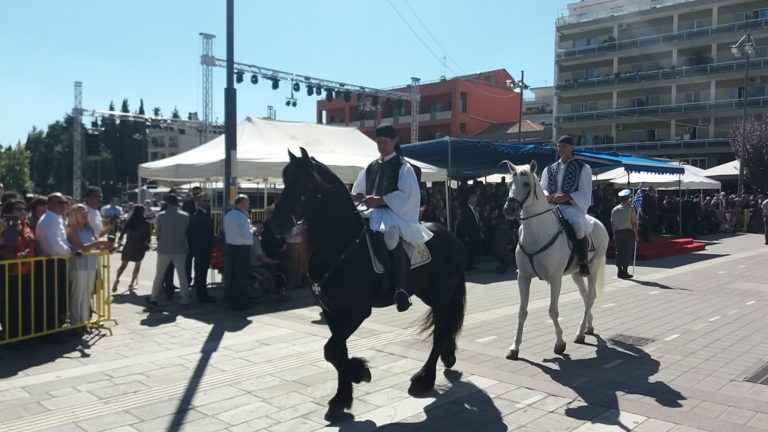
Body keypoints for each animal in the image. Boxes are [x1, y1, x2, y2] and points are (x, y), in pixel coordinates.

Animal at [272, 148, 472, 422]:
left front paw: (359, 373)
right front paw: (341, 399)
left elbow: (331, 350)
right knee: (446, 322)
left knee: (441, 328)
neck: (341, 243)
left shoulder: (357, 311)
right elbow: (338, 350)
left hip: (443, 289)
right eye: (284, 179)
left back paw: (424, 378)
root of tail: (453, 236)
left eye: (305, 185)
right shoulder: (333, 311)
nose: (277, 224)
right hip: (426, 291)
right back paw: (448, 355)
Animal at [500, 160, 608, 360]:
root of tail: (598, 223)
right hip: (576, 273)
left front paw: (559, 343)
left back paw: (580, 333)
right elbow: (521, 312)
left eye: (526, 184)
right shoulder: (523, 278)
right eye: (509, 184)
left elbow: (552, 311)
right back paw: (588, 327)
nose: (509, 210)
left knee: (590, 297)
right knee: (585, 297)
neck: (537, 232)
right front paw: (514, 347)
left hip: (594, 267)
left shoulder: (555, 279)